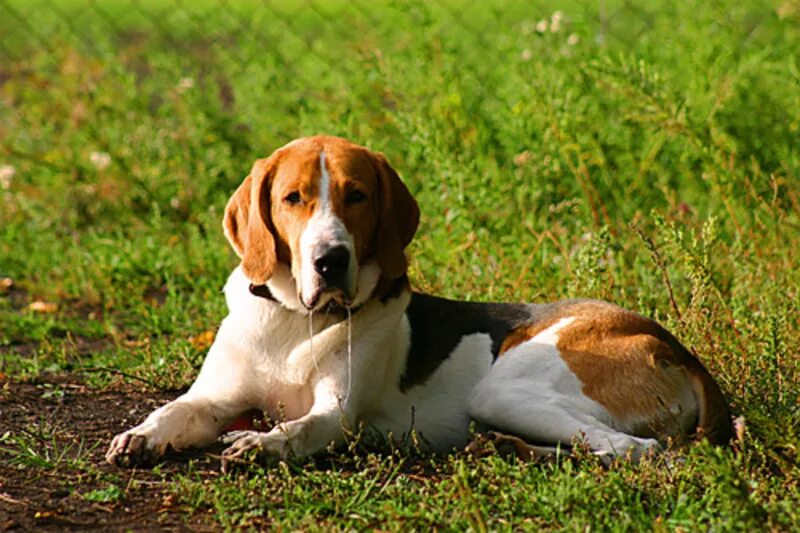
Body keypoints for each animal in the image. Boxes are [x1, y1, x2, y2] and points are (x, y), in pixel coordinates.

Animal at [106, 135, 732, 468]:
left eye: (357, 196)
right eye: (292, 198)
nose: (330, 259)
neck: (294, 324)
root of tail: (675, 347)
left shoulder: (338, 415)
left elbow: (299, 429)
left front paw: (262, 442)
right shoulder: (214, 397)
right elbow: (174, 410)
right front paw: (143, 434)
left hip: (506, 388)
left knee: (631, 447)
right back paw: (502, 448)